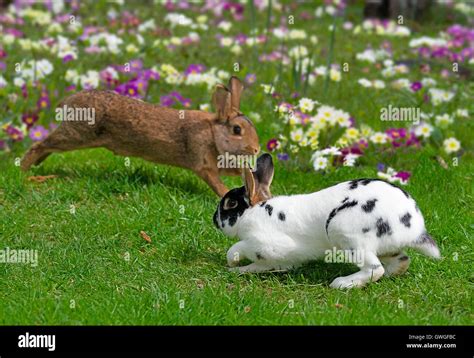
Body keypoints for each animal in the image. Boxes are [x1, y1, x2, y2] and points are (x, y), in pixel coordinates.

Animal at [21, 76, 260, 197]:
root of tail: (68, 102)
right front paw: (227, 194)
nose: (257, 149)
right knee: (40, 144)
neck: (212, 132)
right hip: (76, 135)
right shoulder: (203, 164)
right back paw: (23, 169)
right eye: (237, 130)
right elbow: (216, 184)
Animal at [213, 154, 442, 288]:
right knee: (400, 261)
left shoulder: (268, 244)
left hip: (345, 232)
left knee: (375, 269)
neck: (254, 212)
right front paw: (237, 270)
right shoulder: (276, 260)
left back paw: (341, 284)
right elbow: (258, 266)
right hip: (385, 247)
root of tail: (415, 229)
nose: (214, 220)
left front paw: (232, 262)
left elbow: (238, 247)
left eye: (230, 204)